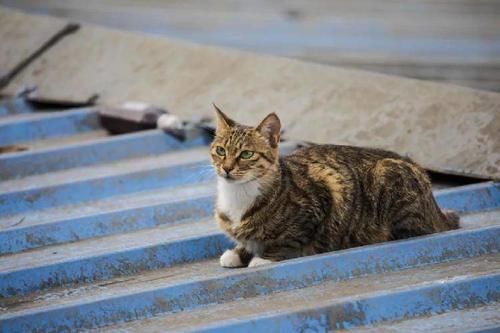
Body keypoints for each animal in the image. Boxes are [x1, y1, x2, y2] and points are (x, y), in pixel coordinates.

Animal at [209, 105, 458, 268]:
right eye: (220, 150)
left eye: (246, 154)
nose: (227, 168)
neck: (238, 195)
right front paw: (238, 253)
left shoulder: (320, 200)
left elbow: (289, 239)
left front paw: (263, 258)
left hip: (388, 175)